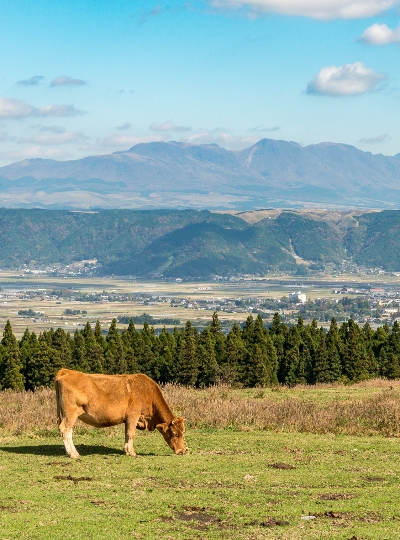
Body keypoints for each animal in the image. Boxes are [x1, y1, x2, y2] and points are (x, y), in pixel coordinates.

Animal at [55, 370, 187, 458]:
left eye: (183, 432)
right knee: (65, 429)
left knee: (68, 431)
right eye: (174, 434)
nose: (182, 451)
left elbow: (126, 434)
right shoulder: (133, 415)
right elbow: (131, 433)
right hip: (70, 414)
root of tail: (66, 371)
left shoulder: (128, 419)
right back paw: (73, 453)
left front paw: (126, 450)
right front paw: (132, 452)